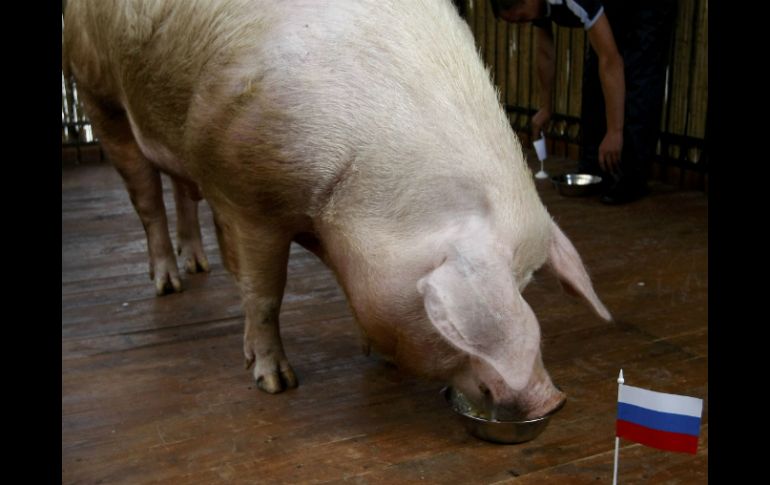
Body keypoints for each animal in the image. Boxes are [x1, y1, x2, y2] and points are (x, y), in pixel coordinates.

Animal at [63, 0, 608, 420]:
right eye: (455, 321)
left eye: (526, 286)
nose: (551, 398)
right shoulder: (246, 196)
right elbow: (264, 294)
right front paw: (275, 383)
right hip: (96, 94)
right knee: (146, 198)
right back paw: (169, 283)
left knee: (180, 190)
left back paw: (198, 266)